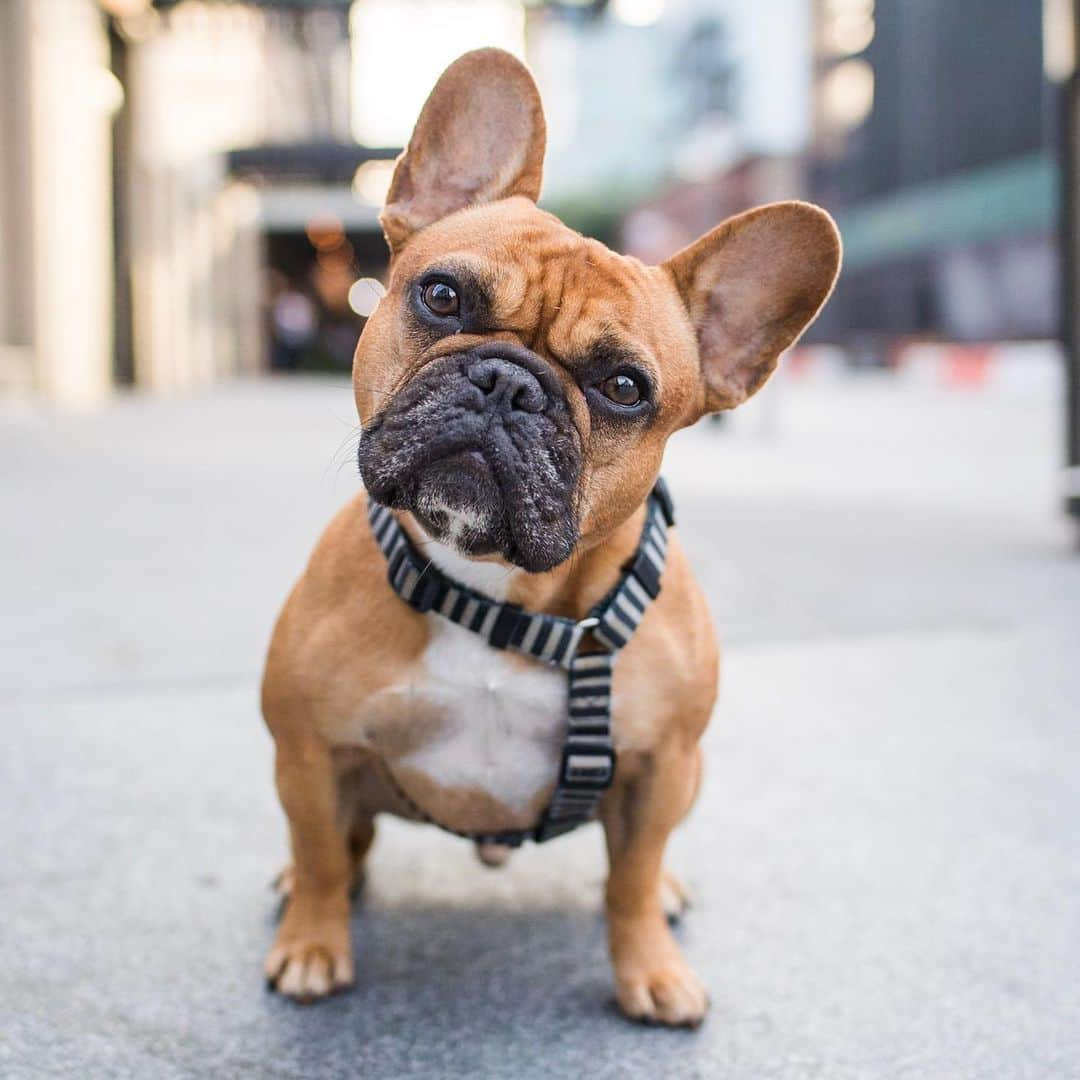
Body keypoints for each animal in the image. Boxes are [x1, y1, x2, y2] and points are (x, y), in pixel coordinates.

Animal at [263, 46, 842, 1023]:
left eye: (623, 387)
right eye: (442, 295)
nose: (508, 383)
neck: (498, 598)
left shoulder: (659, 770)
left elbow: (630, 879)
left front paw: (651, 969)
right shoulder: (305, 749)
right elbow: (316, 851)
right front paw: (312, 941)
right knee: (344, 846)